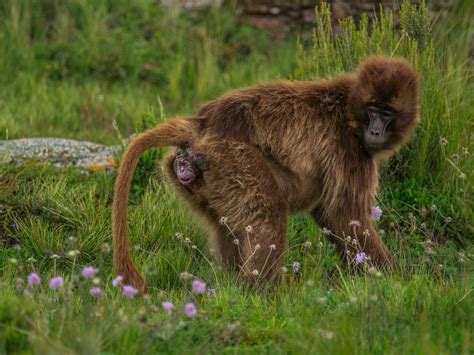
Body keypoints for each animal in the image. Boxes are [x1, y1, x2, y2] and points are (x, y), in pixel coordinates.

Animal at [113, 57, 420, 294]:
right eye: (373, 112)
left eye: (387, 114)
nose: (376, 132)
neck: (350, 110)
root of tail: (201, 124)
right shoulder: (350, 150)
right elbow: (347, 216)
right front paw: (395, 279)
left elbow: (330, 214)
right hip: (231, 159)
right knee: (269, 214)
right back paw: (258, 294)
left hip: (196, 177)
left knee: (230, 226)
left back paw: (234, 285)